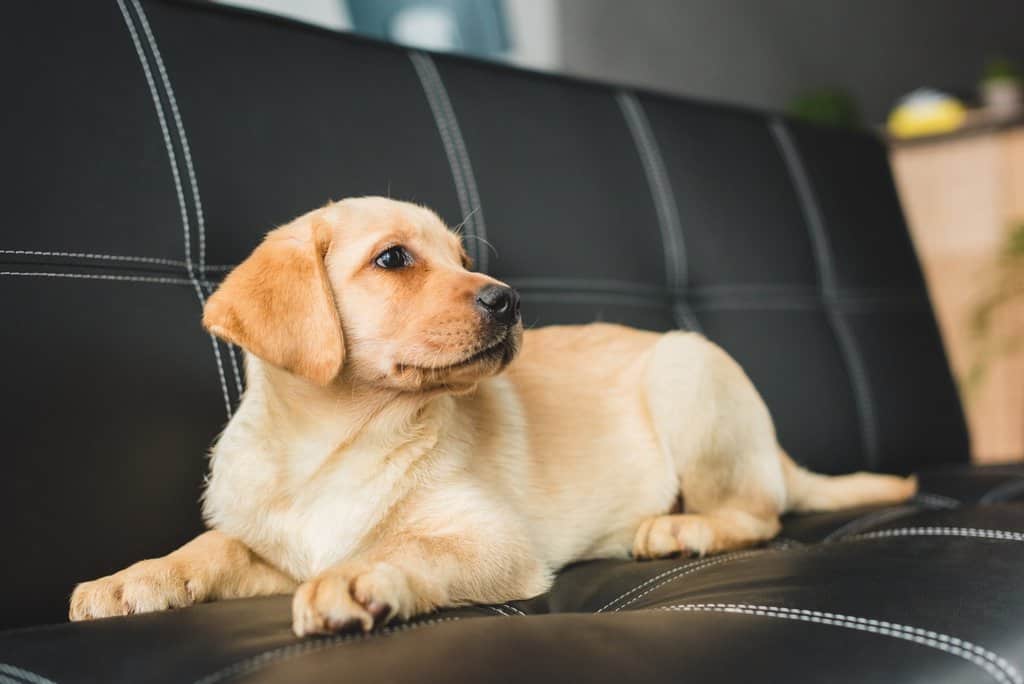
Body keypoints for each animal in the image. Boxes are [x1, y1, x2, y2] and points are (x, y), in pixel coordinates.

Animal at [72, 196, 921, 634]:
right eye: (393, 259)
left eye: (461, 257)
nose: (508, 300)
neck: (335, 442)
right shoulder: (272, 551)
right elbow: (209, 548)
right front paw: (131, 580)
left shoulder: (495, 541)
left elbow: (413, 549)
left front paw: (360, 577)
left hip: (688, 371)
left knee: (758, 512)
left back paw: (683, 528)